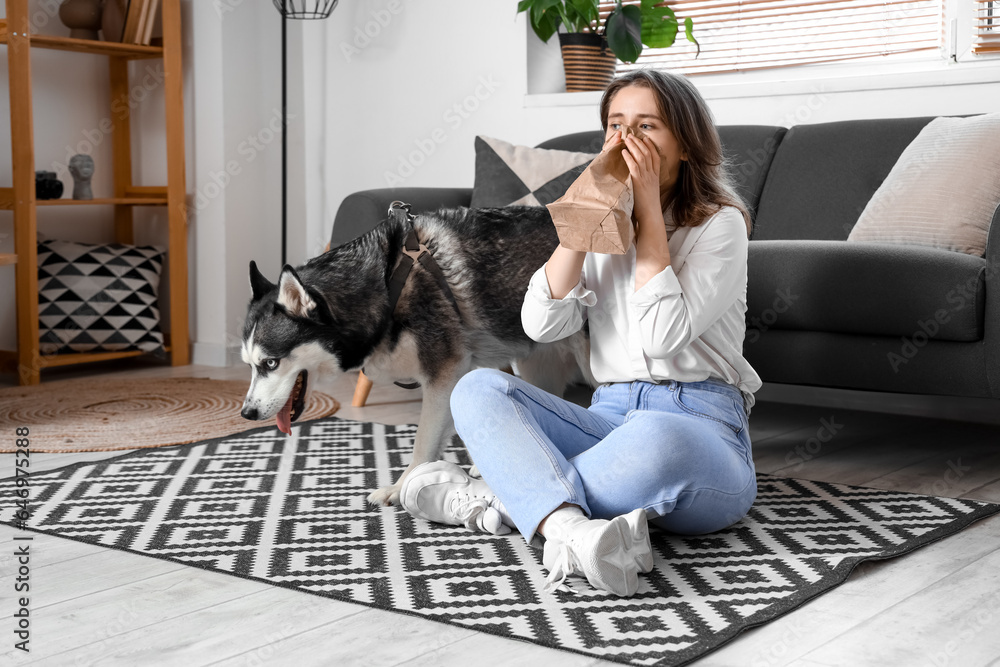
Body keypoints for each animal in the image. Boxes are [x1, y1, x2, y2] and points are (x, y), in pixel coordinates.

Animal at [241, 205, 592, 506]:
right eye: (249, 365)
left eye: (270, 362)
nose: (246, 413)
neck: (386, 284)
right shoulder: (458, 373)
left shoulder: (445, 371)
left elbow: (423, 440)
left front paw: (402, 487)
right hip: (536, 365)